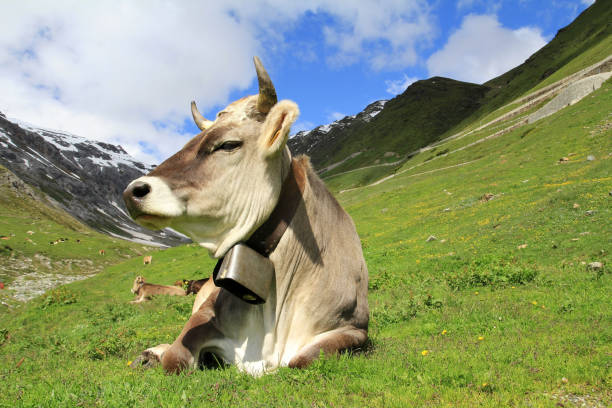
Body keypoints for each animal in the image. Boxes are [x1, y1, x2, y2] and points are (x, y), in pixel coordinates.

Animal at [122, 55, 366, 374]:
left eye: (228, 144)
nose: (132, 192)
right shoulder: (207, 314)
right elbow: (177, 356)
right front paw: (161, 354)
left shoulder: (355, 328)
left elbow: (301, 360)